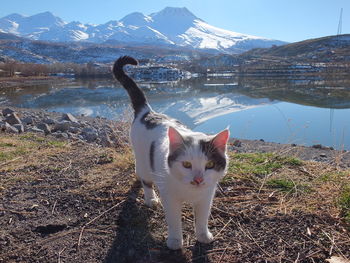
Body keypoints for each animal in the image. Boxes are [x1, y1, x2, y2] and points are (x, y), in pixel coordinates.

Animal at [113, 56, 230, 251]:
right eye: (187, 164)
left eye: (210, 165)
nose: (198, 180)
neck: (190, 192)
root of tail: (148, 112)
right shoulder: (170, 197)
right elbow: (174, 220)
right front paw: (175, 241)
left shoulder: (206, 197)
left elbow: (202, 218)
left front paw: (203, 235)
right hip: (143, 160)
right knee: (144, 178)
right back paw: (151, 198)